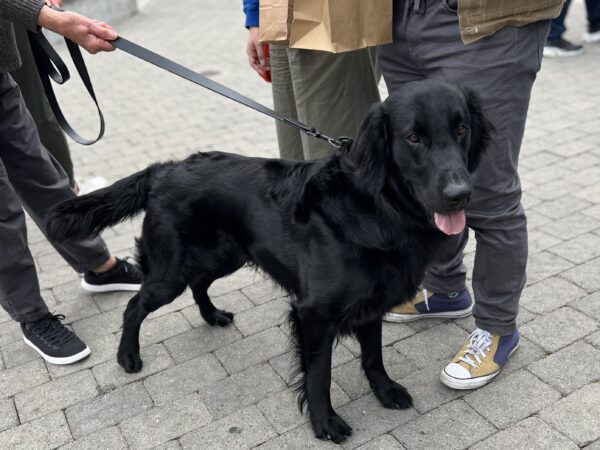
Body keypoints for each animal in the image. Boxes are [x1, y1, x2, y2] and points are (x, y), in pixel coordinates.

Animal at [49, 79, 492, 442]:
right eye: (413, 137)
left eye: (461, 129)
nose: (460, 195)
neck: (375, 207)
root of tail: (163, 170)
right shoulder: (313, 314)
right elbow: (319, 376)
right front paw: (324, 423)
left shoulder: (371, 302)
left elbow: (373, 356)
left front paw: (385, 391)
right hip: (169, 272)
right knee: (135, 304)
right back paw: (128, 356)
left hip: (224, 255)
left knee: (199, 284)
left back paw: (212, 316)